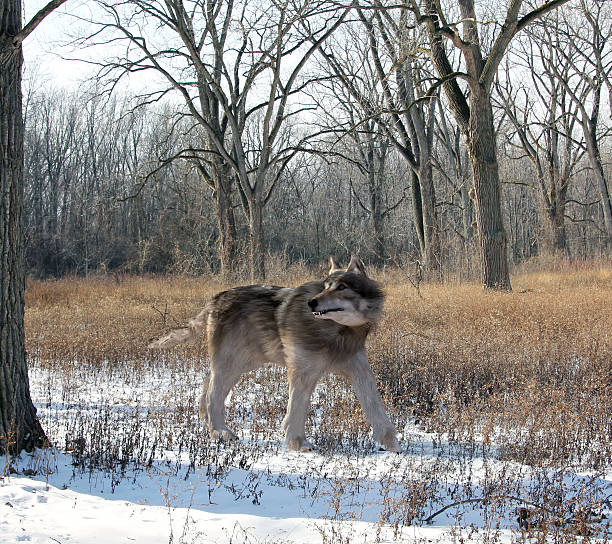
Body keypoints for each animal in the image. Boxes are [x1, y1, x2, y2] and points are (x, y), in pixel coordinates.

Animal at [148, 258, 402, 452]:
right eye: (325, 286)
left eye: (341, 287)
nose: (312, 302)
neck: (337, 331)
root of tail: (215, 299)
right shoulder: (302, 373)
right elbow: (297, 409)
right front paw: (297, 443)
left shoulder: (360, 371)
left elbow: (375, 407)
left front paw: (391, 444)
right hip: (231, 366)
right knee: (212, 397)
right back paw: (221, 432)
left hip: (239, 364)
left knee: (205, 388)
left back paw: (210, 427)